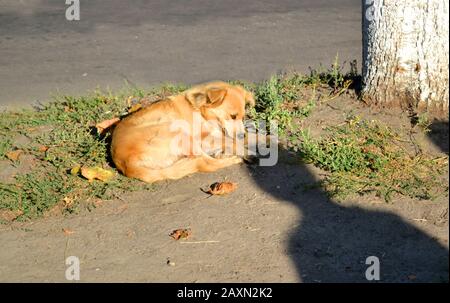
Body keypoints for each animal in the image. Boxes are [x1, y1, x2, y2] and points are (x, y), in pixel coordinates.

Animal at [110, 81, 255, 184]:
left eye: (243, 117)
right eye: (233, 116)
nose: (242, 135)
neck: (199, 110)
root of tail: (126, 165)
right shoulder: (203, 139)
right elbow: (231, 141)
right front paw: (246, 151)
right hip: (178, 131)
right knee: (205, 164)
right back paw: (232, 159)